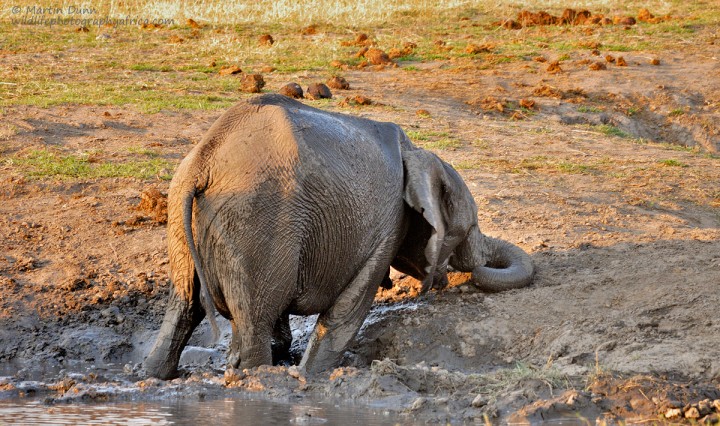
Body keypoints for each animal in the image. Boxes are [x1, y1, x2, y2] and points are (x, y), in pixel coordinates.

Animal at [142, 94, 536, 380]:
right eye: (467, 229)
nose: (470, 273)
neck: (418, 154)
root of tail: (204, 161)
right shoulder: (388, 224)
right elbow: (347, 311)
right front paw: (308, 376)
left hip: (190, 221)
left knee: (183, 308)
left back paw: (155, 374)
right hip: (257, 218)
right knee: (251, 323)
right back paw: (254, 376)